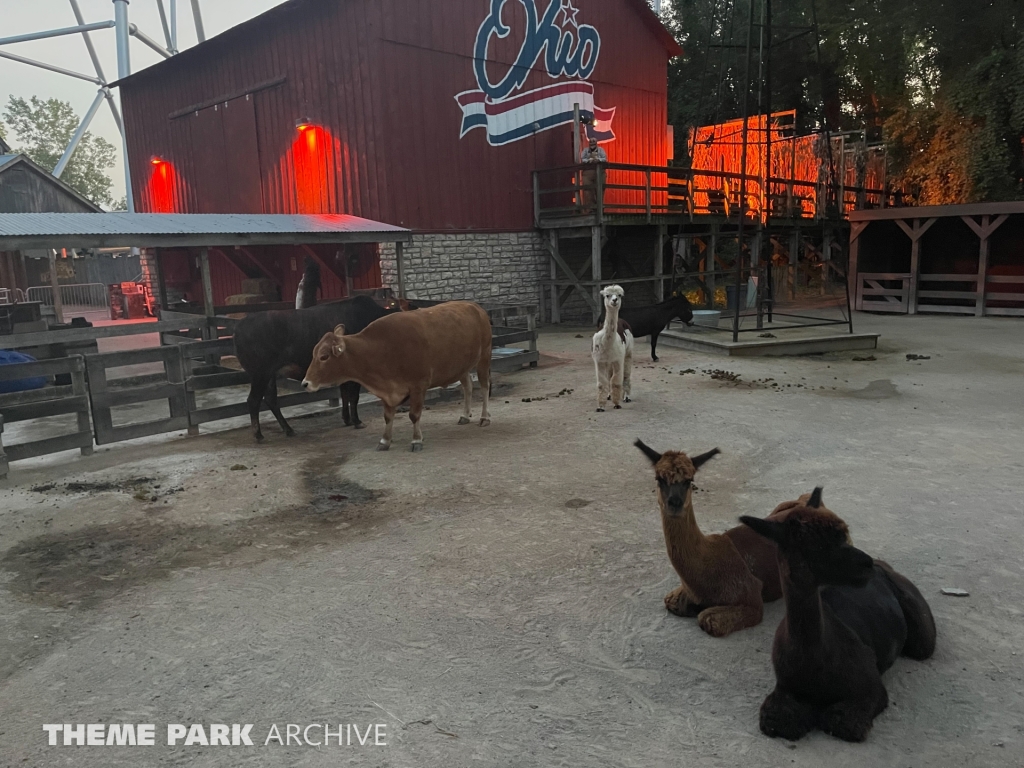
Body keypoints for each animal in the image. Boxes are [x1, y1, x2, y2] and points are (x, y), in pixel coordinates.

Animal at [299, 303, 491, 450]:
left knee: (484, 386)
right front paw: (385, 441)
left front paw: (416, 440)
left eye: (324, 356)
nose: (305, 383)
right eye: (314, 353)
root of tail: (475, 306)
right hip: (461, 367)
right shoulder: (387, 390)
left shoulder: (418, 386)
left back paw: (484, 417)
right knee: (467, 385)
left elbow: (414, 415)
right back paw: (465, 415)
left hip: (484, 357)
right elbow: (388, 416)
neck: (382, 348)